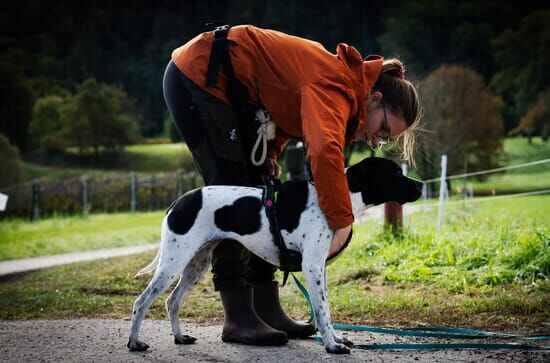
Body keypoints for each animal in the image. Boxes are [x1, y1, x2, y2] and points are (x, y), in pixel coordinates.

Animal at [128, 158, 422, 354]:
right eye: (396, 173)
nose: (420, 185)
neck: (337, 196)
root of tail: (177, 202)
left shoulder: (321, 268)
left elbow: (325, 309)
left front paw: (336, 339)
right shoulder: (312, 266)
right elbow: (322, 311)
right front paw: (331, 345)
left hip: (194, 264)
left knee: (172, 302)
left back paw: (179, 338)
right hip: (173, 263)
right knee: (141, 302)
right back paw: (134, 342)